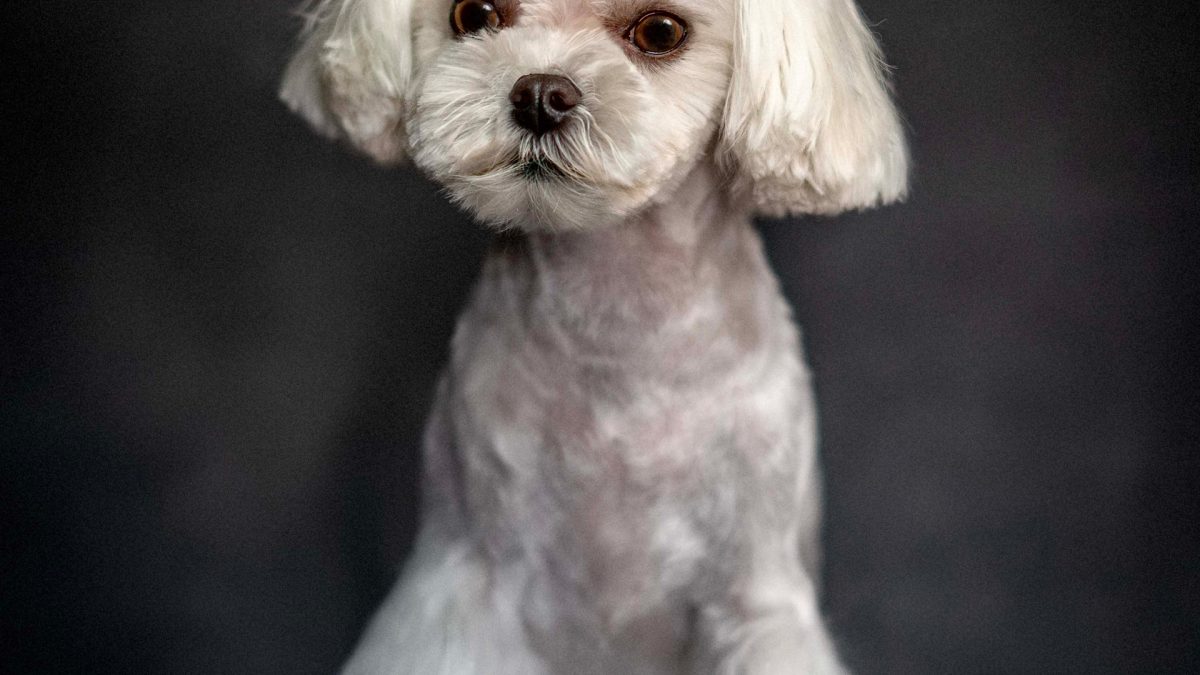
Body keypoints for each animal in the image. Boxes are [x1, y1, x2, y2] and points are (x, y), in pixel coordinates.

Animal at [278, 0, 902, 667]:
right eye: (473, 14)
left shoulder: (756, 593)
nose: (540, 94)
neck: (616, 320)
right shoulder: (466, 573)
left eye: (660, 31)